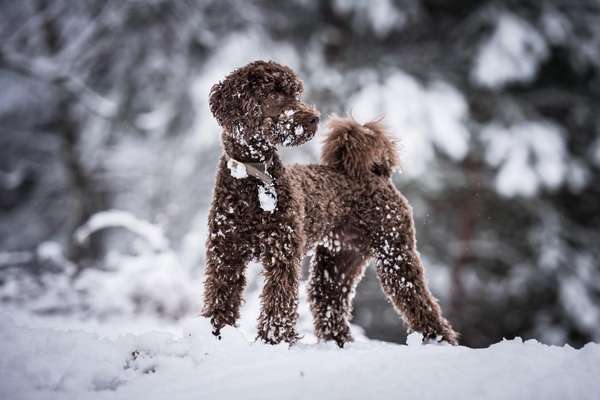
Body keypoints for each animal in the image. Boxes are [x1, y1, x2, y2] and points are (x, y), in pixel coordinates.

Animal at [199, 60, 458, 346]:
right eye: (274, 93)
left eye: (296, 94)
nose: (314, 118)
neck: (253, 174)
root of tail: (378, 174)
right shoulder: (225, 253)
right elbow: (221, 295)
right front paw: (217, 334)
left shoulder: (282, 254)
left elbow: (278, 300)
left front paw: (274, 340)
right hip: (339, 259)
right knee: (329, 299)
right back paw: (338, 340)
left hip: (395, 252)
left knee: (419, 299)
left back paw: (440, 340)